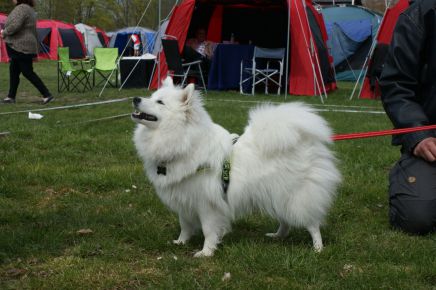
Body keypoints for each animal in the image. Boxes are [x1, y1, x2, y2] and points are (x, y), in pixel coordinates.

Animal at [131, 78, 342, 258]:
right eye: (152, 96)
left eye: (160, 102)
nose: (135, 98)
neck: (183, 141)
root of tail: (303, 139)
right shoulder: (185, 198)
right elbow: (185, 226)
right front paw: (181, 242)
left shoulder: (207, 203)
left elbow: (208, 230)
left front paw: (206, 252)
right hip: (277, 194)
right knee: (285, 221)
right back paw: (277, 236)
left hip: (295, 196)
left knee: (312, 223)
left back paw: (317, 248)